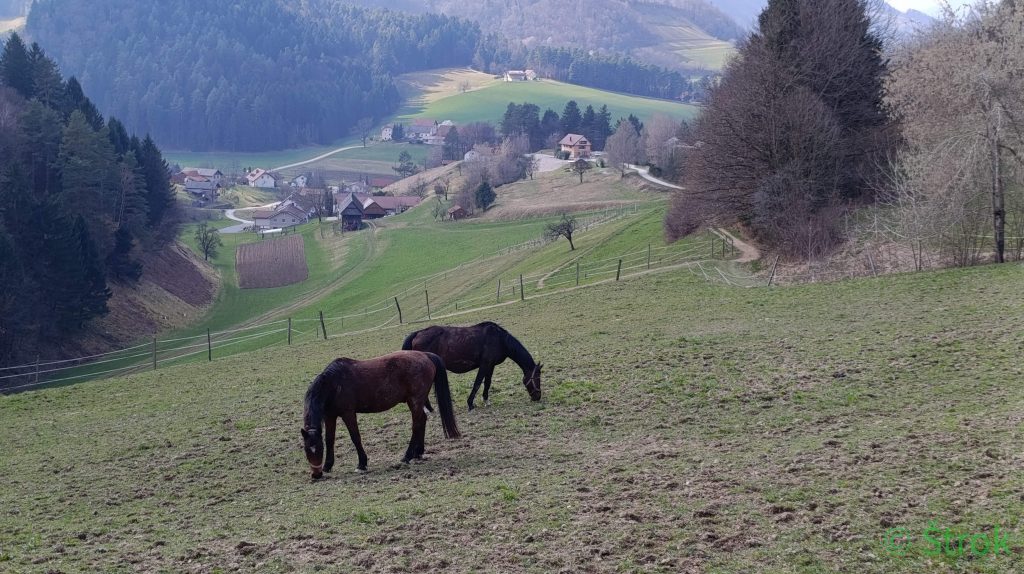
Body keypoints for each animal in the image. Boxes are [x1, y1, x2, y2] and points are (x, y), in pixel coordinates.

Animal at [300, 350, 460, 478]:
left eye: (319, 449)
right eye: (307, 449)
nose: (316, 474)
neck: (333, 384)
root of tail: (426, 355)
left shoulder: (348, 414)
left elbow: (355, 437)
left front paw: (362, 464)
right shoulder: (330, 416)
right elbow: (330, 439)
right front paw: (328, 466)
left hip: (415, 400)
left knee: (417, 425)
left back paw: (407, 456)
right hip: (416, 402)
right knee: (422, 421)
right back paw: (418, 452)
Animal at [401, 321, 542, 411]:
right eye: (536, 378)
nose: (537, 397)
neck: (500, 339)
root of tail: (417, 333)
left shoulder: (490, 366)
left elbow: (487, 383)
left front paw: (486, 401)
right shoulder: (484, 365)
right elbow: (477, 383)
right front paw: (470, 404)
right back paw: (428, 409)